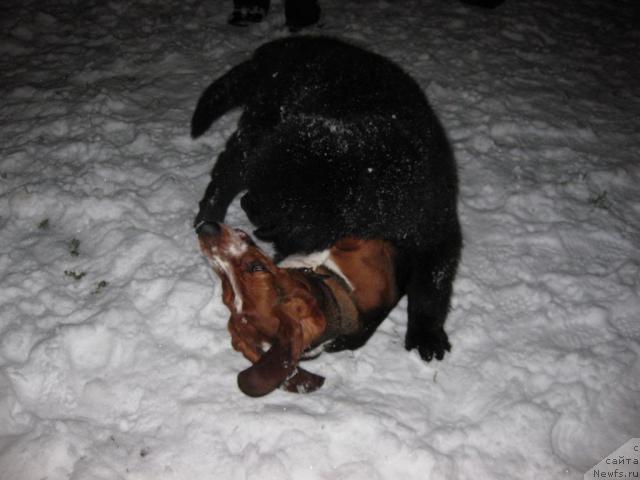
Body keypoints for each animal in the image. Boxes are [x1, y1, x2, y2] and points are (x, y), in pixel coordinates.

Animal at [192, 35, 462, 362]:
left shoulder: (433, 226)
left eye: (279, 201)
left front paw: (427, 334)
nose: (246, 203)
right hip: (255, 133)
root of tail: (285, 45)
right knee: (226, 175)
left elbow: (431, 285)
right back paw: (208, 215)